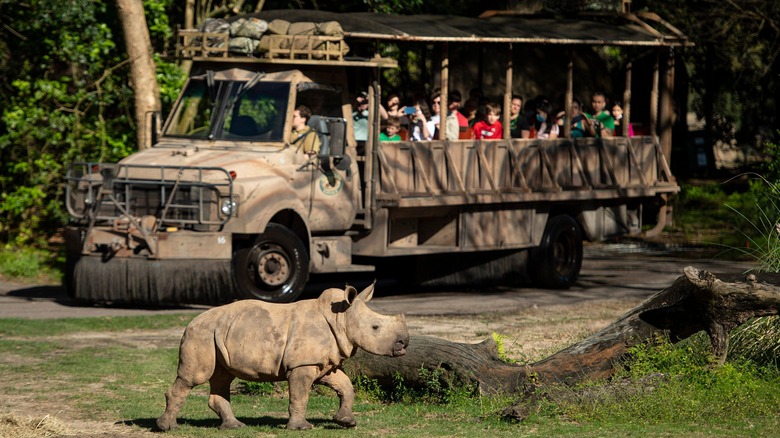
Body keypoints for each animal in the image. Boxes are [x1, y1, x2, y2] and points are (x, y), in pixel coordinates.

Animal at [157, 282, 408, 430]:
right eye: (375, 327)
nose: (404, 343)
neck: (341, 317)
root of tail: (190, 322)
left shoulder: (323, 362)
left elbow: (346, 387)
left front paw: (347, 421)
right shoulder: (302, 364)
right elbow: (300, 396)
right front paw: (301, 427)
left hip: (219, 333)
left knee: (222, 377)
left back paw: (235, 426)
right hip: (201, 334)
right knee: (195, 377)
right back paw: (168, 427)